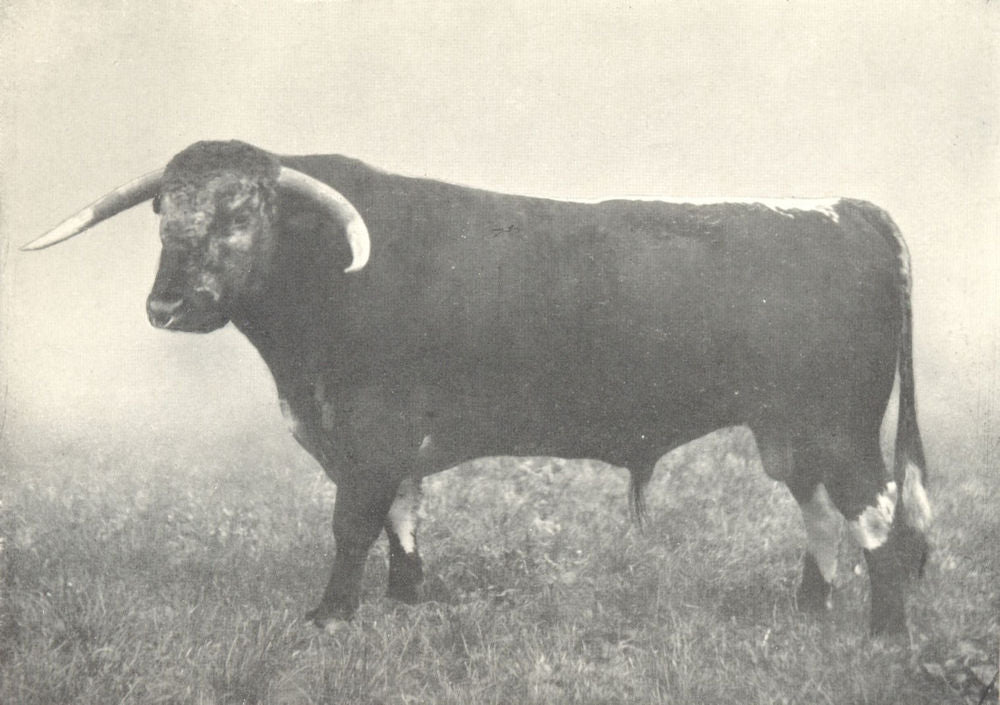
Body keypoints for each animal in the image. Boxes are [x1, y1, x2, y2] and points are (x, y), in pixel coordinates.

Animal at [24, 140, 932, 634]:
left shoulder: (371, 432)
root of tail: (843, 208)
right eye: (162, 216)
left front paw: (331, 614)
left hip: (839, 427)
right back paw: (809, 607)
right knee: (823, 514)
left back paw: (882, 633)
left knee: (879, 517)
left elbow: (353, 523)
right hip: (790, 434)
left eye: (241, 213)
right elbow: (402, 516)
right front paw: (405, 596)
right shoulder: (378, 440)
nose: (167, 305)